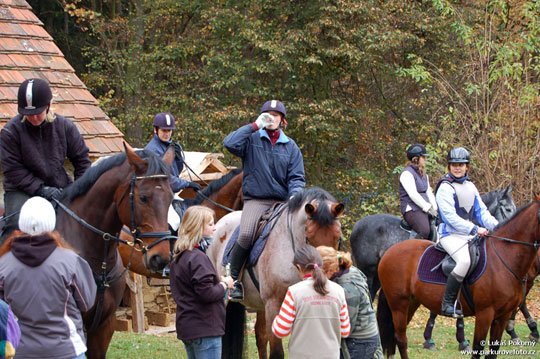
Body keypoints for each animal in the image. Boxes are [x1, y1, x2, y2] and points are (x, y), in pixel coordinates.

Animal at [207, 187, 346, 359]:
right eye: (308, 237)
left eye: (338, 237)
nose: (325, 278)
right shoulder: (274, 304)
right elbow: (277, 352)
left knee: (260, 336)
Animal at [378, 197, 540, 359]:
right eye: (507, 208)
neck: (502, 258)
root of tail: (390, 251)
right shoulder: (485, 314)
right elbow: (477, 349)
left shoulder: (502, 316)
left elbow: (493, 351)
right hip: (398, 304)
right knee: (401, 338)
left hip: (412, 302)